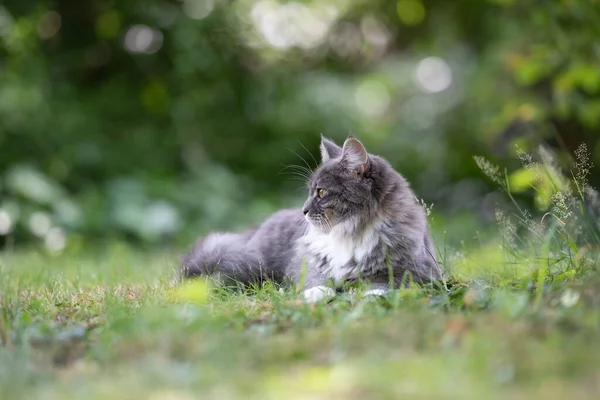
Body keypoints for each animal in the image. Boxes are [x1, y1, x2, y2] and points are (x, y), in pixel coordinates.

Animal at [180, 136, 442, 302]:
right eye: (310, 191)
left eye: (321, 192)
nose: (303, 211)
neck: (350, 232)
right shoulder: (311, 266)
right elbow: (318, 284)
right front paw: (314, 295)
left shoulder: (418, 271)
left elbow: (387, 283)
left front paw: (371, 295)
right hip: (249, 267)